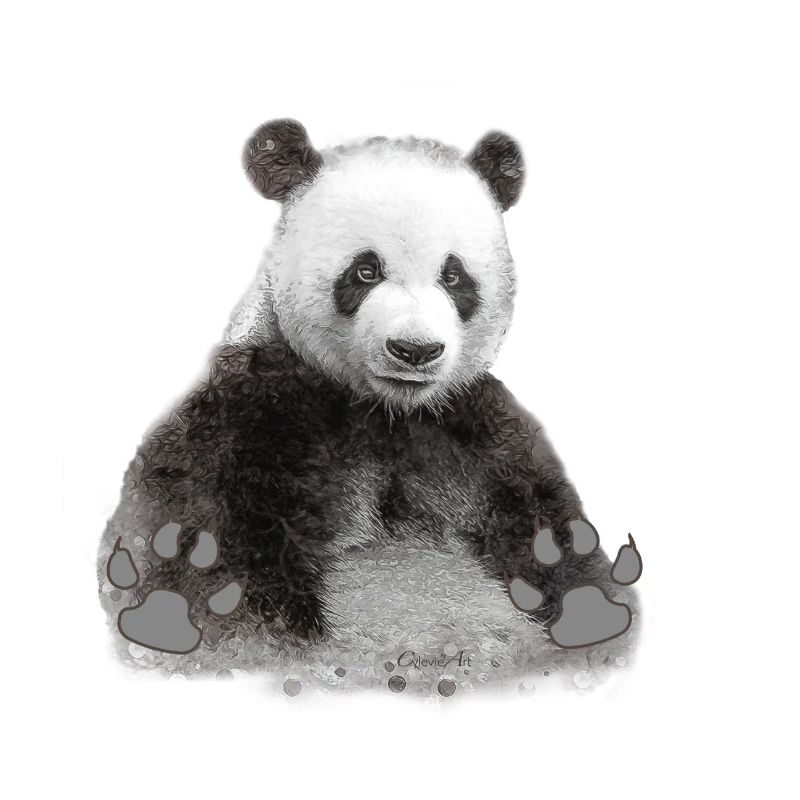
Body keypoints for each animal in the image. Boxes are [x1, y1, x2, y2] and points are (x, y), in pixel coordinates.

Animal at [98, 119, 638, 689]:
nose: (415, 350)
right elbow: (215, 559)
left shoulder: (477, 431)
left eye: (453, 276)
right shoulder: (253, 416)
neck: (386, 411)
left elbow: (550, 533)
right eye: (365, 271)